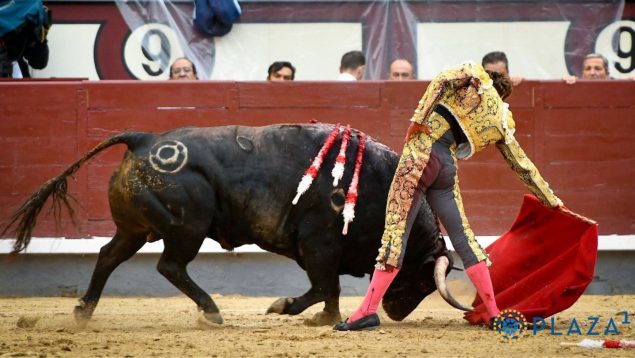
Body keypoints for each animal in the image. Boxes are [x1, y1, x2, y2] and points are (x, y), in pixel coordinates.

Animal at [2, 124, 470, 328]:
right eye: (422, 280)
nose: (395, 312)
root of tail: (144, 140)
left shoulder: (326, 252)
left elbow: (330, 289)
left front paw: (325, 319)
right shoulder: (318, 245)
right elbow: (323, 286)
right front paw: (288, 309)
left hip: (135, 230)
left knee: (107, 256)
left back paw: (83, 312)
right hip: (186, 229)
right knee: (170, 266)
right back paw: (211, 312)